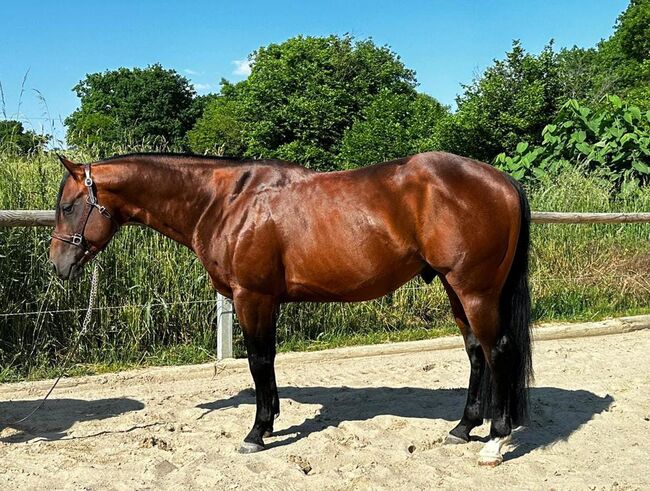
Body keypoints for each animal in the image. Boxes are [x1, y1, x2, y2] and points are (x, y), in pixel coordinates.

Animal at [49, 152, 532, 468]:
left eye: (69, 206)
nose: (58, 265)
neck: (226, 202)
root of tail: (502, 181)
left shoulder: (252, 296)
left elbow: (259, 361)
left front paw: (256, 433)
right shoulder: (265, 301)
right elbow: (269, 362)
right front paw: (271, 421)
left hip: (475, 290)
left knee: (499, 352)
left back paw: (494, 442)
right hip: (455, 289)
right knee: (476, 352)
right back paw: (463, 428)